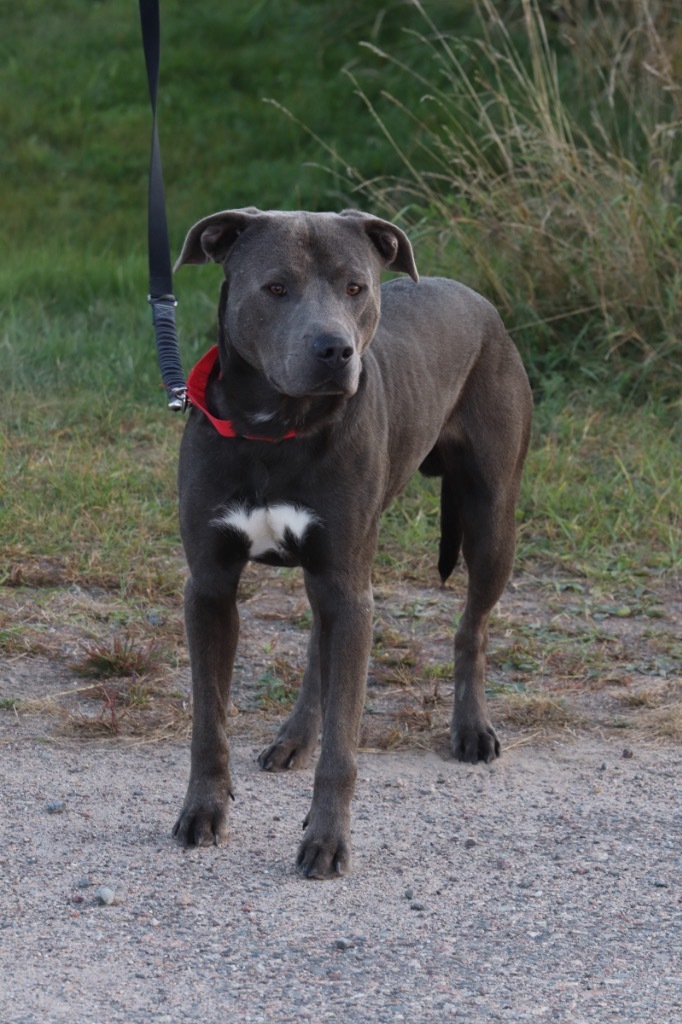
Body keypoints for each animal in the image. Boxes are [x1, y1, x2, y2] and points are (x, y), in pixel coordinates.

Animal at [169, 209, 532, 880]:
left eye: (356, 288)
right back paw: (294, 737)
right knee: (321, 645)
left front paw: (328, 839)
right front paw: (204, 809)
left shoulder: (346, 583)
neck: (275, 428)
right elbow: (209, 720)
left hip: (492, 521)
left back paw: (471, 727)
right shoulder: (209, 588)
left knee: (472, 627)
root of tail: (478, 300)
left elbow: (344, 741)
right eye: (276, 288)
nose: (335, 349)